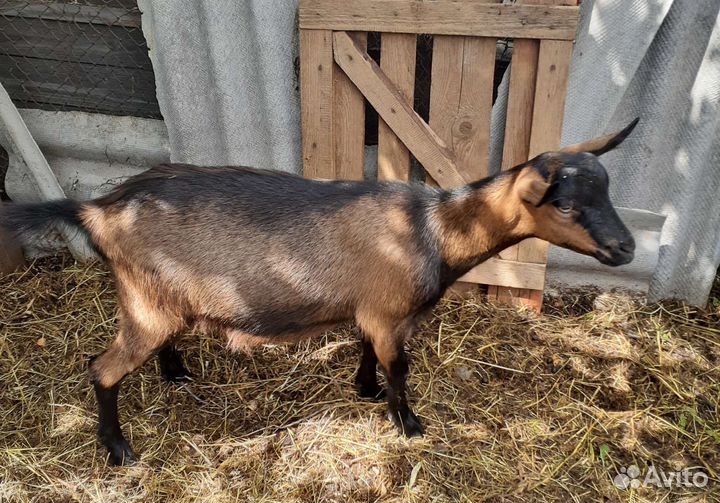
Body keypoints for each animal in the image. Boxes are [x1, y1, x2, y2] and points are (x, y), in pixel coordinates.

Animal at [0, 119, 638, 465]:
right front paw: (407, 423)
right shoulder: (388, 313)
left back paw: (176, 373)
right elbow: (400, 368)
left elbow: (367, 351)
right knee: (100, 369)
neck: (432, 230)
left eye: (606, 190)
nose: (627, 249)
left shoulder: (372, 311)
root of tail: (99, 210)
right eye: (566, 203)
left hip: (158, 299)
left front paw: (364, 390)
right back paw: (118, 450)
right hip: (143, 304)